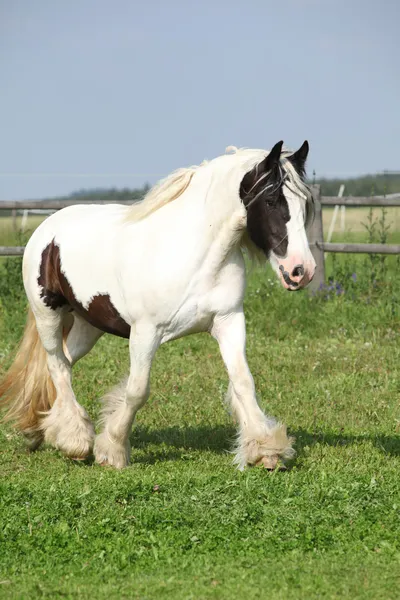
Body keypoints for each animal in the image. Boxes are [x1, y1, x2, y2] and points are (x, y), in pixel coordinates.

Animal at [1, 141, 318, 468]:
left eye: (305, 204)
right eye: (270, 200)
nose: (301, 271)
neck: (193, 254)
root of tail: (48, 227)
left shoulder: (228, 321)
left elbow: (243, 381)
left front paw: (266, 450)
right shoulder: (145, 332)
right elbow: (137, 391)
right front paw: (112, 449)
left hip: (88, 325)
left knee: (63, 362)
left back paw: (42, 429)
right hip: (48, 314)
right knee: (57, 364)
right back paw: (74, 441)